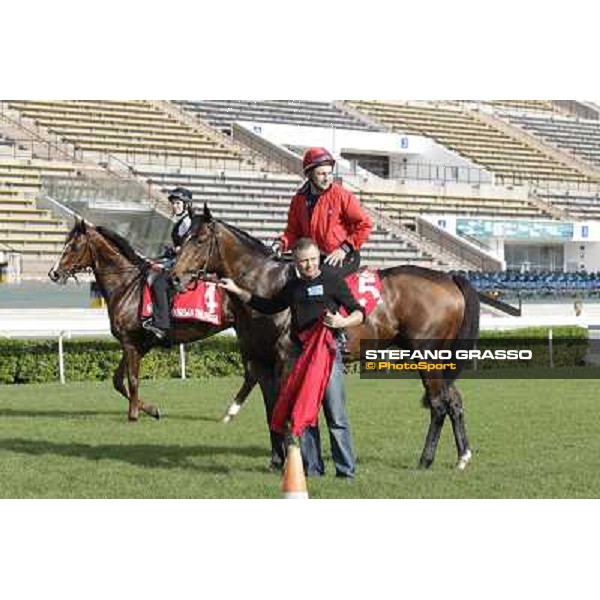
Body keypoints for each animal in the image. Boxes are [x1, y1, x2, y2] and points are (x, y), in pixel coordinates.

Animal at [48, 219, 255, 422]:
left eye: (73, 246)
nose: (53, 273)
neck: (127, 286)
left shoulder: (130, 342)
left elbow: (132, 379)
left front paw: (133, 415)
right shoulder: (137, 344)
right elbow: (117, 380)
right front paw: (151, 409)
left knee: (251, 373)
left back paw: (231, 412)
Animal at [171, 209, 480, 472]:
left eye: (199, 240)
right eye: (182, 239)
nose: (175, 278)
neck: (265, 287)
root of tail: (449, 277)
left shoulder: (285, 360)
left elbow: (285, 409)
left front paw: (290, 460)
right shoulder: (261, 364)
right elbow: (272, 409)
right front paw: (276, 460)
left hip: (427, 357)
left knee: (438, 404)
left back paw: (425, 460)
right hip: (437, 361)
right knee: (453, 401)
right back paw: (462, 457)